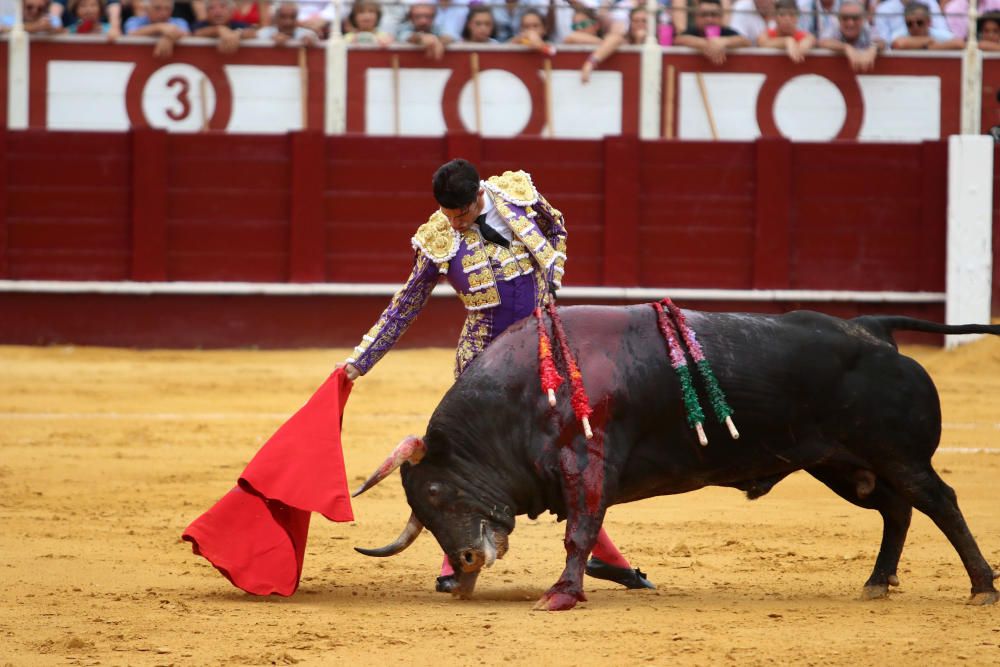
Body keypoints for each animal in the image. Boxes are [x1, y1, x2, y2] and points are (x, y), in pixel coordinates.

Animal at [354, 306, 1000, 612]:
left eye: (435, 492)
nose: (465, 560)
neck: (520, 397)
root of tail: (872, 327)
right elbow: (584, 530)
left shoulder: (589, 462)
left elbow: (580, 531)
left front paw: (561, 594)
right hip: (844, 466)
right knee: (897, 510)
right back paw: (877, 582)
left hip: (898, 455)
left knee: (939, 502)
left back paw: (980, 588)